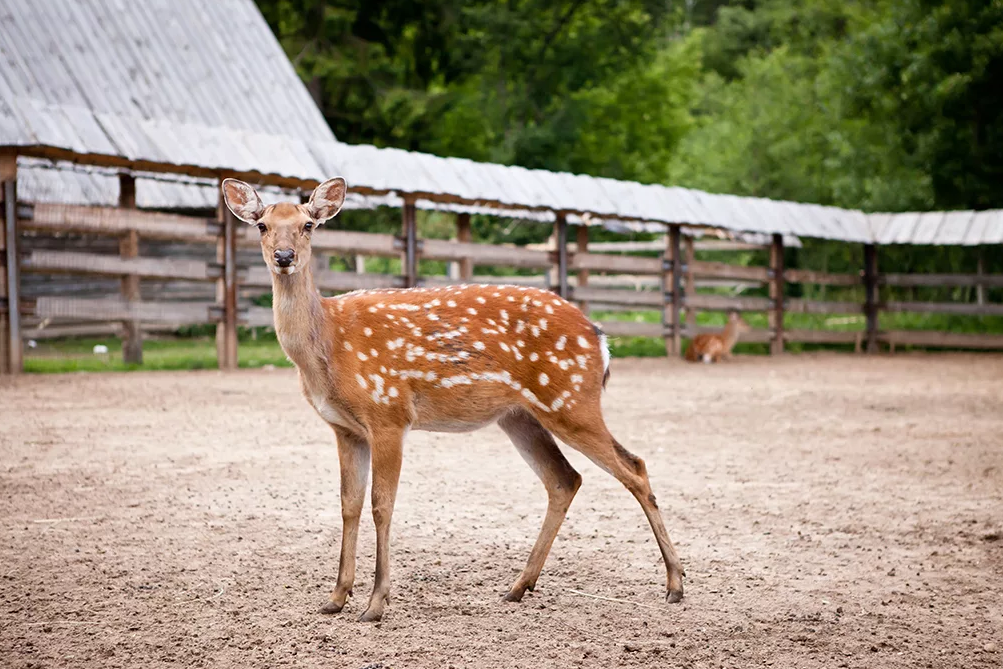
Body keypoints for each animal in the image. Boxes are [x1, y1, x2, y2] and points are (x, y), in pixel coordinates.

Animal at [223, 176, 686, 621]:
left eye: (308, 225)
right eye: (262, 225)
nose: (284, 256)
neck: (328, 348)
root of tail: (600, 337)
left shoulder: (389, 412)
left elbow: (381, 505)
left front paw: (375, 604)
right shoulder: (344, 428)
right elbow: (348, 504)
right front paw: (335, 598)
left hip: (571, 400)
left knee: (634, 467)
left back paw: (675, 585)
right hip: (520, 415)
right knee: (565, 479)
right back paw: (518, 587)